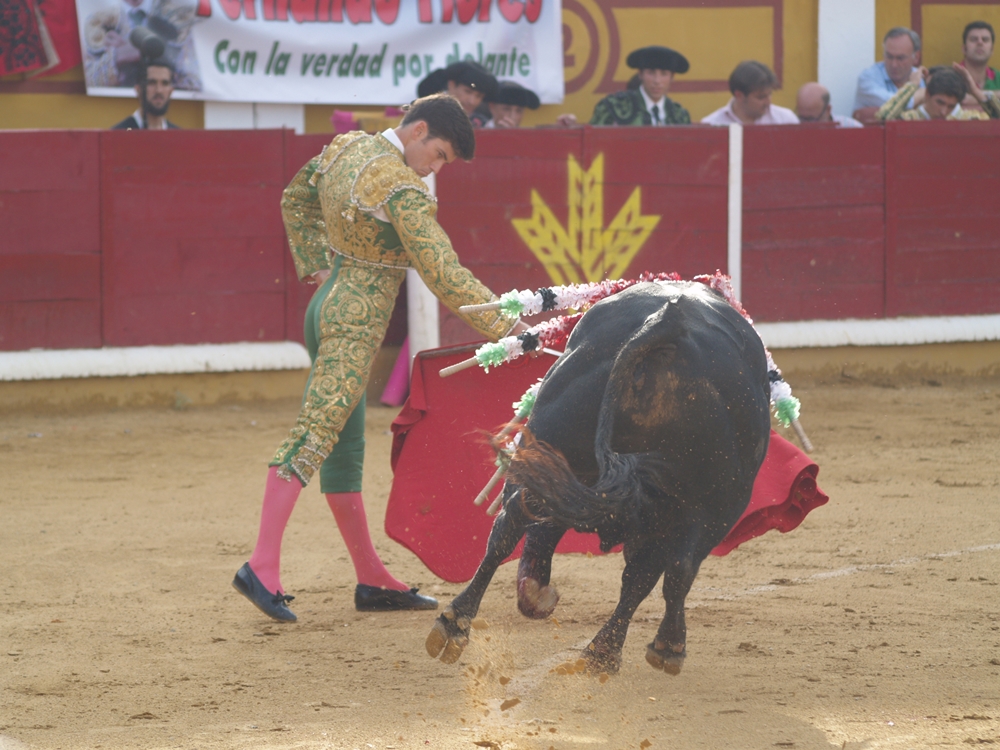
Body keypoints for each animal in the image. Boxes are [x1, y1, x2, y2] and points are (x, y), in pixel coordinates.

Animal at [426, 282, 768, 676]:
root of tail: (667, 325)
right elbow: (656, 576)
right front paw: (656, 648)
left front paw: (540, 597)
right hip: (716, 503)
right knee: (675, 571)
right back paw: (640, 648)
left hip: (552, 438)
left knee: (511, 522)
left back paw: (455, 622)